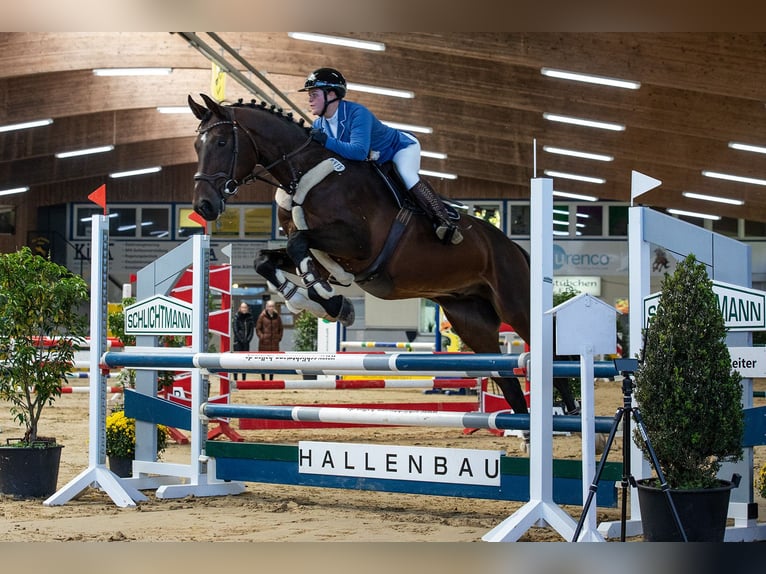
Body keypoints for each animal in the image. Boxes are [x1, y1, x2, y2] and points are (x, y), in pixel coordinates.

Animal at [188, 93, 536, 414]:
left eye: (221, 142)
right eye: (196, 146)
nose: (203, 206)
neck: (304, 174)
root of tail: (515, 249)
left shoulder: (357, 244)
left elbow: (297, 244)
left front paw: (326, 297)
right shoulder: (326, 252)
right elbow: (268, 258)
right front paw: (314, 300)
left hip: (516, 306)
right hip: (471, 320)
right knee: (509, 383)